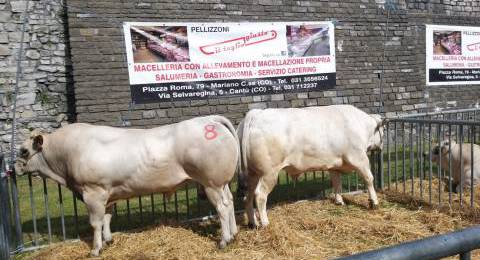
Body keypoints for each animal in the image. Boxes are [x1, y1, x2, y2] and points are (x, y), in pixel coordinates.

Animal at [15, 116, 240, 256]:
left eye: (24, 151)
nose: (14, 168)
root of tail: (209, 120)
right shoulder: (107, 193)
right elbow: (107, 218)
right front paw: (108, 240)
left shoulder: (93, 192)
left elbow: (95, 223)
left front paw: (95, 249)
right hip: (222, 183)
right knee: (229, 203)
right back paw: (234, 234)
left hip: (211, 183)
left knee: (222, 208)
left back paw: (224, 240)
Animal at [238, 104, 384, 229]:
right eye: (382, 130)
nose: (381, 147)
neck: (361, 125)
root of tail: (256, 114)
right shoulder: (359, 158)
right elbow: (369, 179)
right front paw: (374, 202)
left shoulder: (335, 164)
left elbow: (337, 182)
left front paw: (339, 201)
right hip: (269, 172)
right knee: (260, 195)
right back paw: (265, 223)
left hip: (252, 174)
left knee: (247, 197)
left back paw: (253, 223)